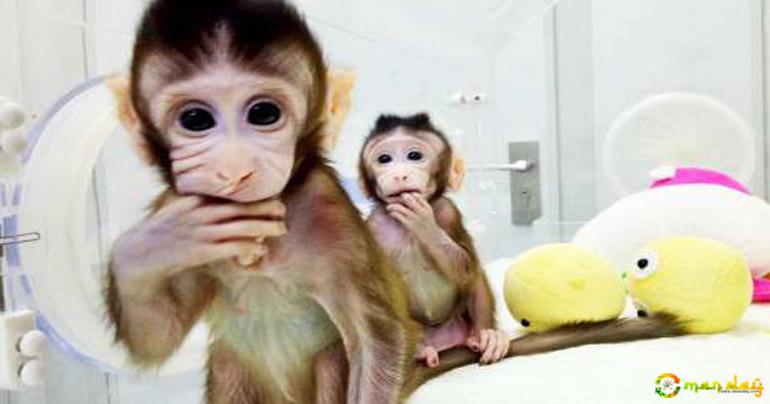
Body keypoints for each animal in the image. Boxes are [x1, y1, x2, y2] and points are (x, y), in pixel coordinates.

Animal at [104, 1, 420, 403]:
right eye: (195, 119)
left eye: (264, 114)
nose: (234, 168)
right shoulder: (174, 201)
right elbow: (155, 338)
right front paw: (155, 242)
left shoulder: (329, 212)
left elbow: (379, 339)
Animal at [358, 113, 510, 368]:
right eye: (384, 159)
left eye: (414, 156)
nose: (399, 174)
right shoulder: (373, 225)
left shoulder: (448, 212)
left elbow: (465, 268)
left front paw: (424, 224)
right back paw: (418, 351)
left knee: (475, 275)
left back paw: (486, 336)